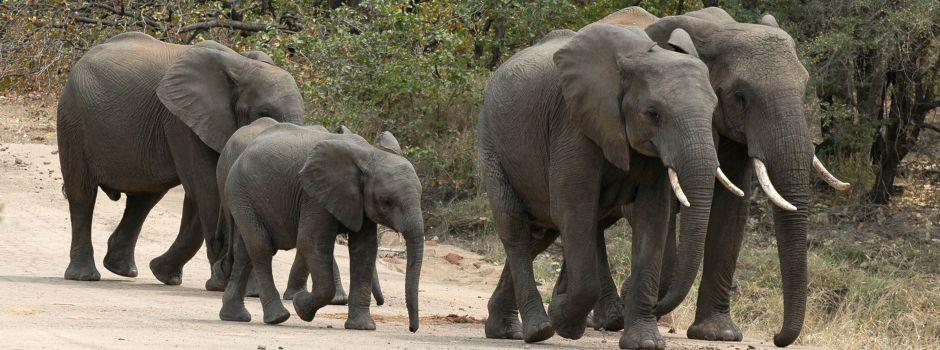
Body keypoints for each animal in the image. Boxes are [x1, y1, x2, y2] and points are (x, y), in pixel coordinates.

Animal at [55, 31, 302, 286]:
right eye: (263, 114)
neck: (242, 65)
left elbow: (202, 196)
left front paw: (168, 275)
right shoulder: (181, 121)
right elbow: (206, 188)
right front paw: (221, 283)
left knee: (144, 198)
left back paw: (122, 269)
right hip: (73, 121)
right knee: (82, 194)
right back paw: (84, 276)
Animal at [482, 23, 744, 348]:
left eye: (713, 112)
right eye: (653, 114)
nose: (659, 308)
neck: (640, 58)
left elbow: (652, 217)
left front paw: (645, 342)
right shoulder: (573, 125)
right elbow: (574, 210)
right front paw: (564, 321)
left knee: (539, 233)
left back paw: (504, 330)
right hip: (492, 147)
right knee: (516, 229)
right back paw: (538, 330)